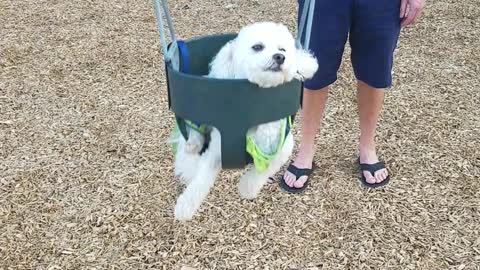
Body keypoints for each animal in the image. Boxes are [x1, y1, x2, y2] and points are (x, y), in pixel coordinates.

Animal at [172, 22, 318, 220]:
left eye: (283, 49)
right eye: (257, 47)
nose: (280, 57)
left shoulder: (283, 148)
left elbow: (264, 170)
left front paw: (247, 188)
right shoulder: (218, 149)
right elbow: (201, 179)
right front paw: (185, 206)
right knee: (194, 128)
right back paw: (193, 143)